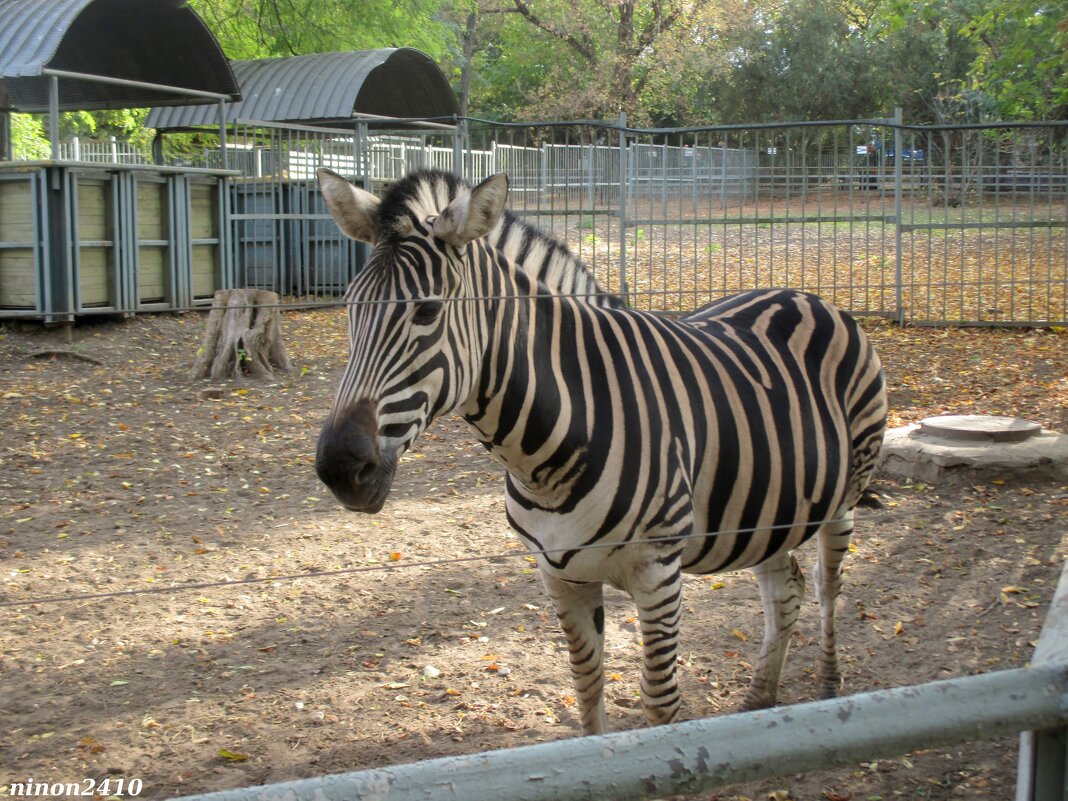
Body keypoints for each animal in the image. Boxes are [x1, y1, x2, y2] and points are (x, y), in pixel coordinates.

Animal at [311, 169, 888, 739]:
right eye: (349, 306)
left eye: (428, 310)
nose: (339, 467)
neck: (545, 456)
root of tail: (805, 295)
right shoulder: (559, 574)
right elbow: (587, 690)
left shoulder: (658, 573)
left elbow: (660, 703)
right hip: (770, 504)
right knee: (785, 588)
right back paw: (757, 703)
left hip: (845, 494)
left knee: (826, 585)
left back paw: (829, 686)